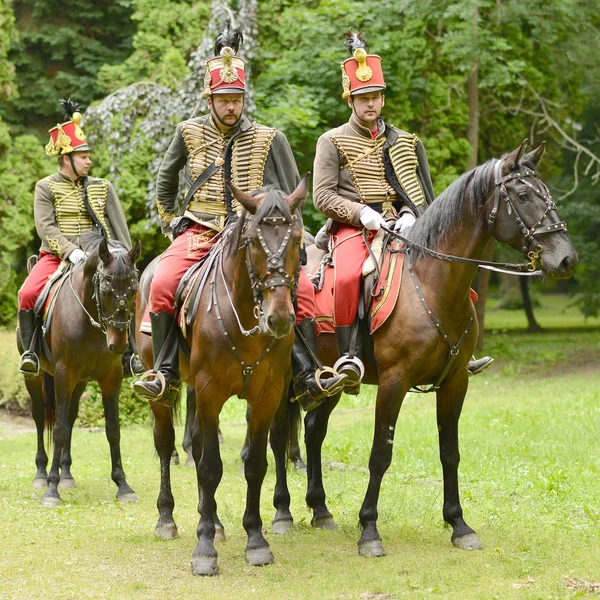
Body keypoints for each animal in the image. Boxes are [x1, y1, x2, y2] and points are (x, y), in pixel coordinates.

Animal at [18, 232, 142, 508]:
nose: (118, 344)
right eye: (105, 289)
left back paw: (66, 474)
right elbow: (60, 430)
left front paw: (123, 485)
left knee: (72, 415)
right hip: (37, 379)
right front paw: (51, 490)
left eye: (134, 290)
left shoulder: (112, 378)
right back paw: (42, 474)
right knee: (40, 416)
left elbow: (113, 429)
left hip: (80, 383)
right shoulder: (65, 374)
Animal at [134, 177, 308, 572]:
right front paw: (204, 551)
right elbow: (210, 467)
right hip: (166, 390)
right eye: (254, 240)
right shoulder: (209, 391)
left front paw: (256, 541)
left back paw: (212, 522)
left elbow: (255, 464)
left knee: (198, 443)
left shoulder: (266, 394)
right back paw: (167, 519)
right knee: (166, 444)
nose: (279, 318)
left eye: (296, 239)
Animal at [268, 143, 576, 556]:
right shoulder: (393, 383)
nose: (566, 259)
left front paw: (459, 524)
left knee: (314, 431)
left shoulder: (455, 382)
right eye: (524, 195)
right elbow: (380, 454)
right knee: (277, 435)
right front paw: (369, 530)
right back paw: (282, 513)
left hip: (330, 380)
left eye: (547, 193)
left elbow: (450, 452)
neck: (431, 283)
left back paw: (320, 510)